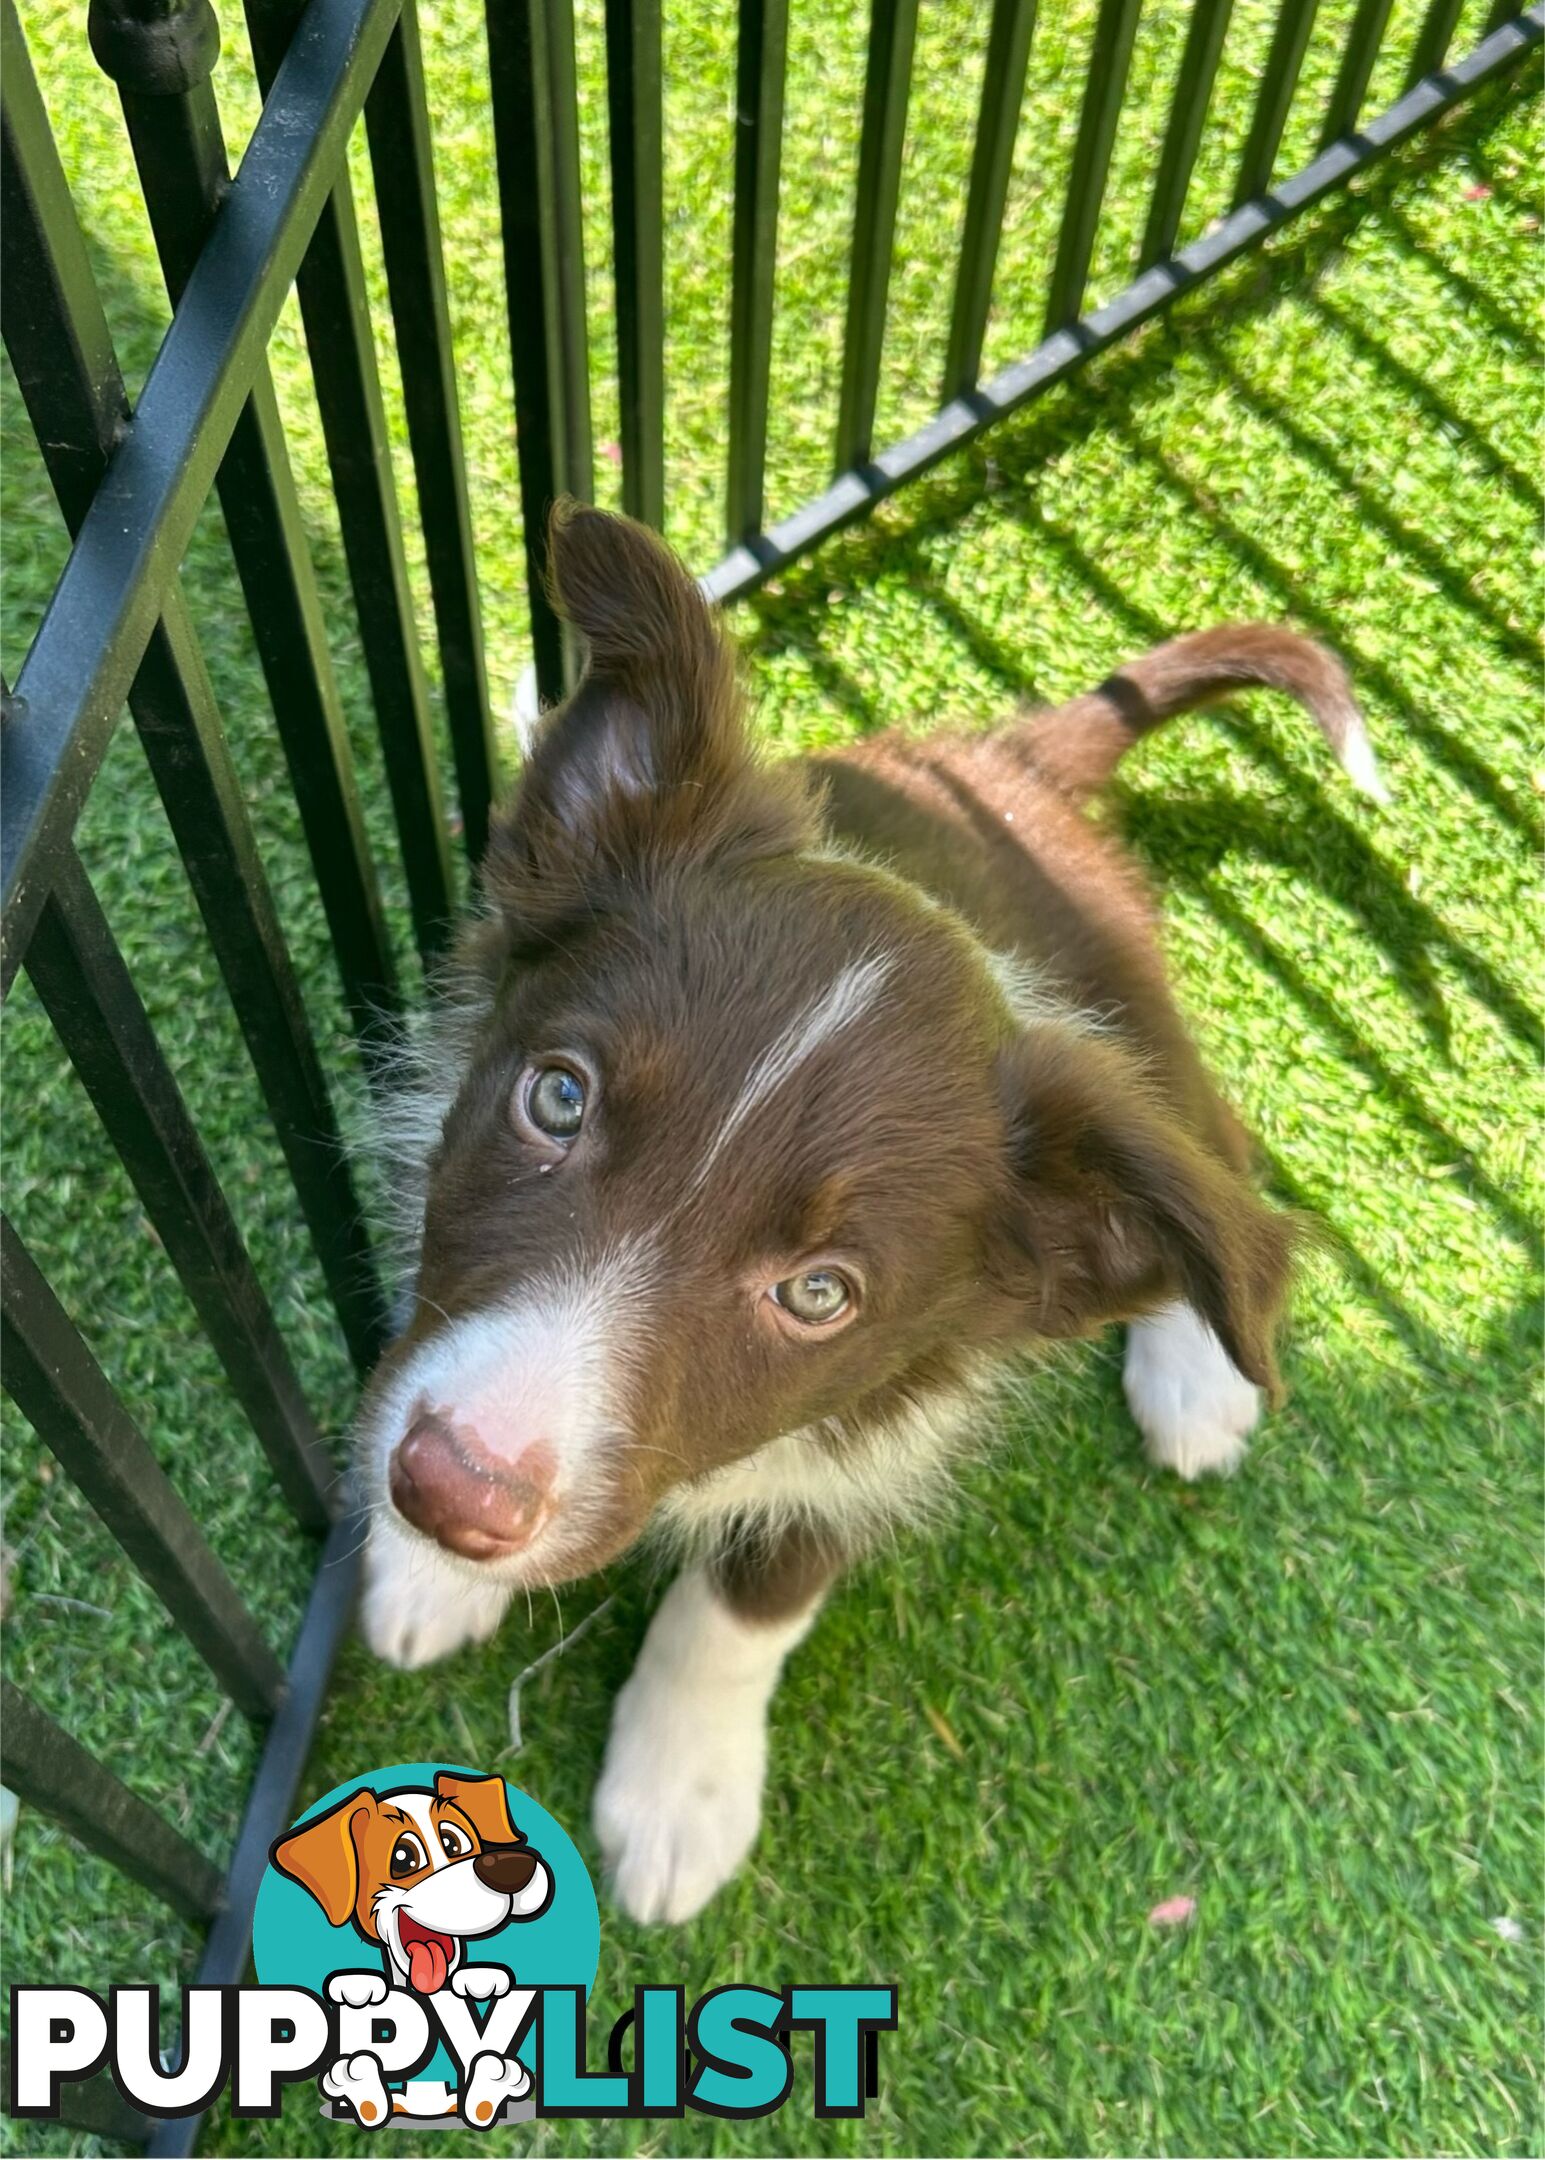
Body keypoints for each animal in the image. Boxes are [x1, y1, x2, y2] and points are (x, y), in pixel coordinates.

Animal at [354, 501, 1391, 1926]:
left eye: (818, 1294)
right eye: (556, 1098)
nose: (452, 1493)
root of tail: (1008, 763)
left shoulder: (884, 1425)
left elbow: (746, 1604)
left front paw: (679, 1788)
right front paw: (421, 1573)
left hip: (1129, 1035)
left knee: (1218, 1170)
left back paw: (1201, 1371)